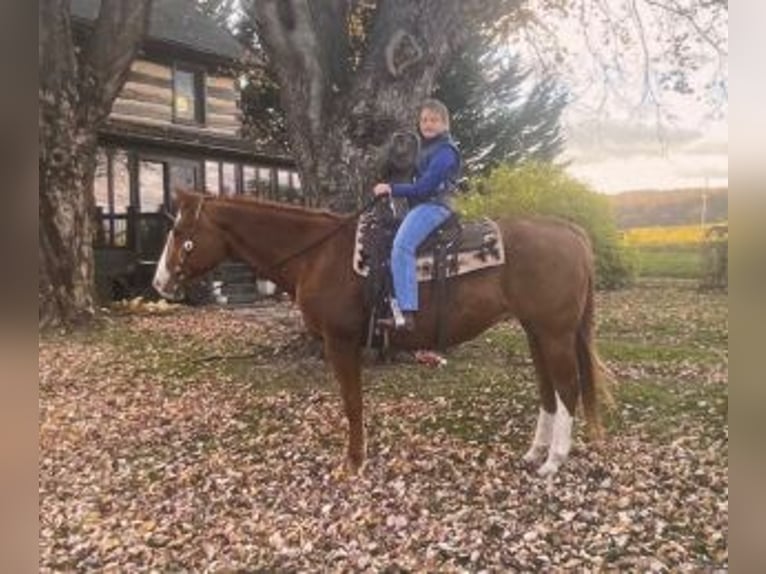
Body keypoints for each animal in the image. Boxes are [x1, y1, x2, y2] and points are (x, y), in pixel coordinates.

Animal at [153, 189, 613, 477]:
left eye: (178, 233)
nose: (159, 283)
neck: (320, 253)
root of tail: (571, 232)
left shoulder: (341, 342)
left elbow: (352, 404)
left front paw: (353, 463)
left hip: (554, 332)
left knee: (567, 387)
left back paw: (554, 460)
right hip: (536, 331)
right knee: (548, 389)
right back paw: (535, 453)